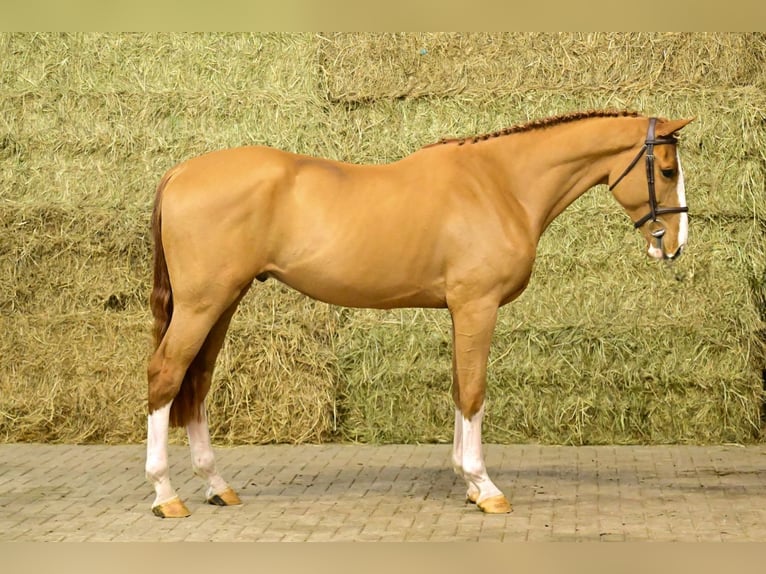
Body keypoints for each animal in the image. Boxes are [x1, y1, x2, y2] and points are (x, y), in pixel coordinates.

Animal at [145, 110, 692, 518]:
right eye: (667, 170)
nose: (675, 245)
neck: (500, 184)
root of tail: (181, 172)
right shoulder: (477, 306)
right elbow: (473, 392)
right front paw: (485, 486)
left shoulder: (459, 310)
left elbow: (458, 387)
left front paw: (467, 482)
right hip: (202, 304)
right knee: (166, 376)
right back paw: (166, 495)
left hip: (224, 301)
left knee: (197, 382)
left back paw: (217, 485)